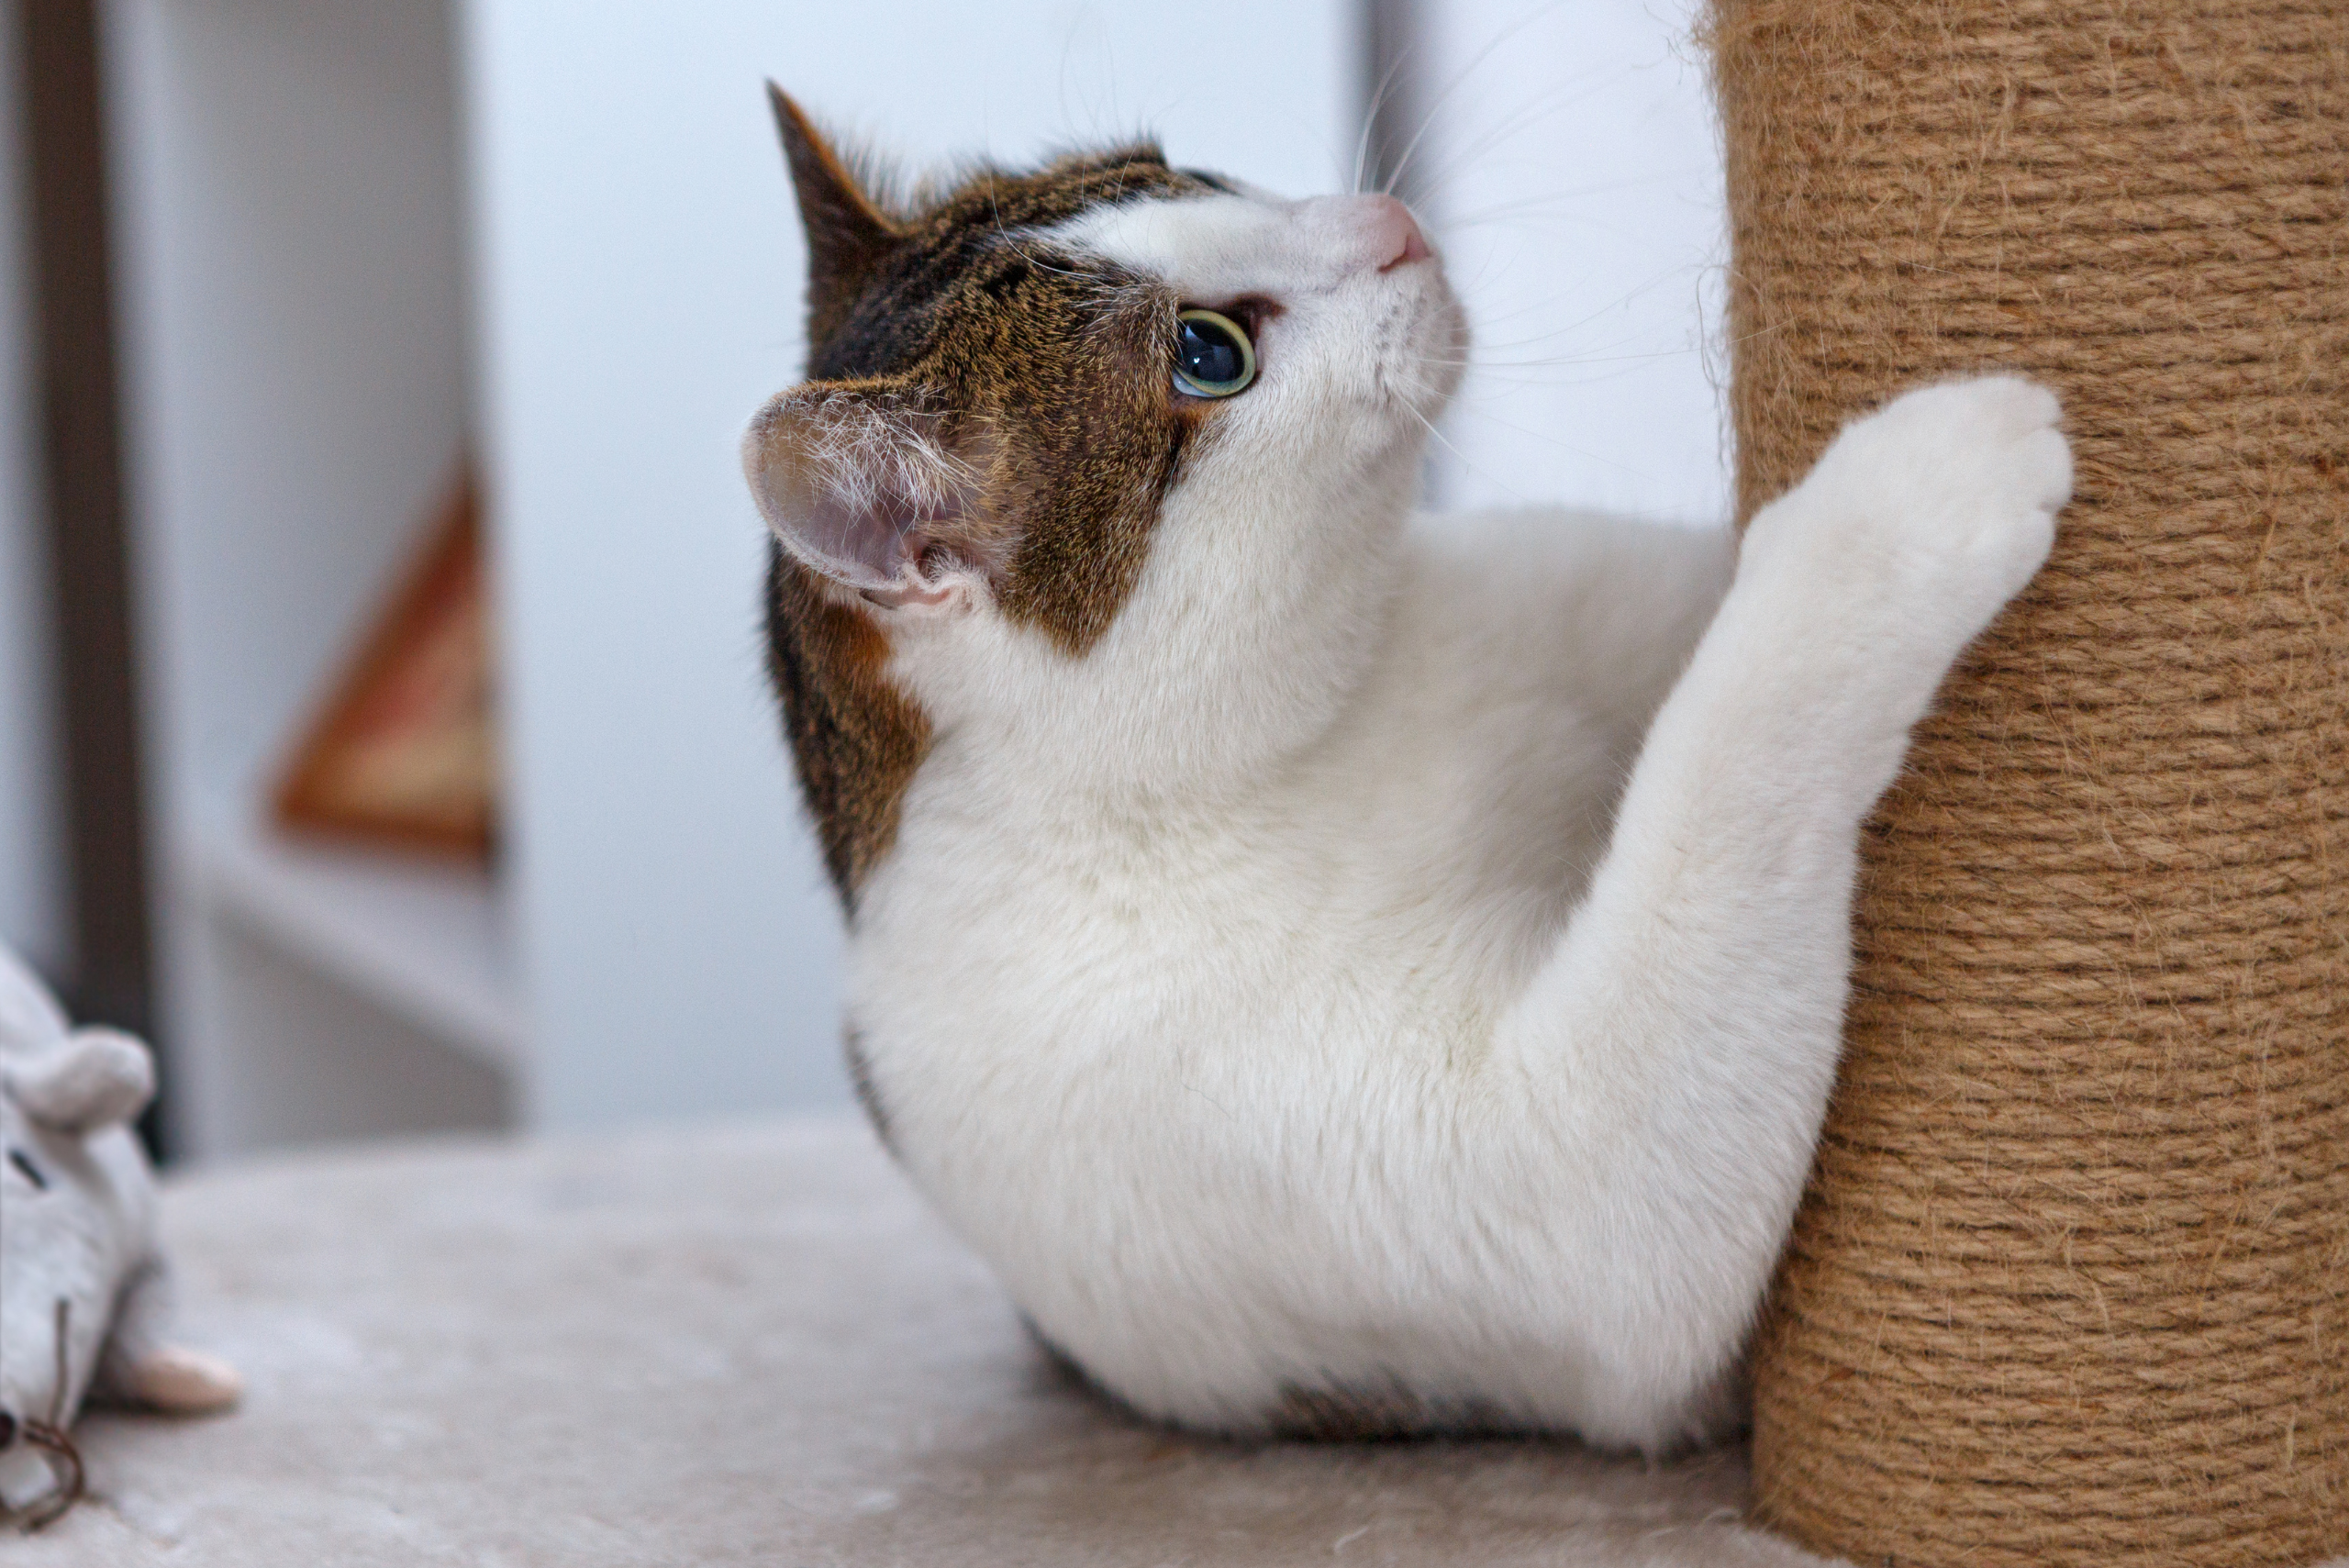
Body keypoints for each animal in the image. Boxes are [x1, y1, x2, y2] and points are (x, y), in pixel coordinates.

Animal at [741, 88, 2066, 1455]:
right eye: (1209, 353)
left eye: (1197, 173)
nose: (1389, 221)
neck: (1321, 729)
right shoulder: (1556, 1197)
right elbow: (1715, 797)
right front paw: (1918, 490)